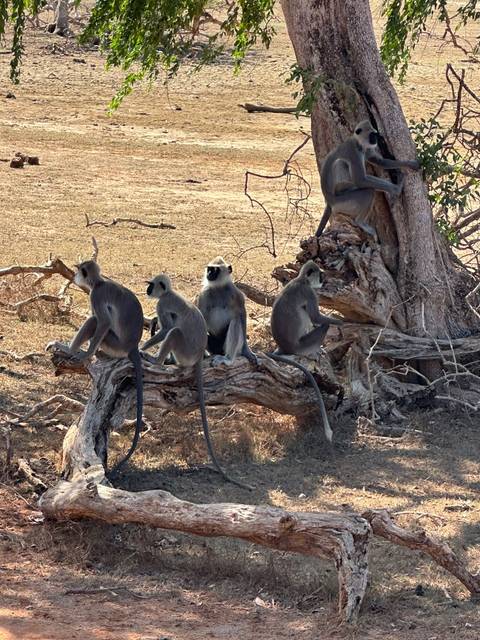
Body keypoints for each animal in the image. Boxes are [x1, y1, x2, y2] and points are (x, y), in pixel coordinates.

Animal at [47, 260, 144, 474]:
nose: (75, 276)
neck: (99, 283)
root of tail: (132, 346)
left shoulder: (96, 295)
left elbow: (104, 321)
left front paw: (85, 354)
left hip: (115, 343)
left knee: (95, 321)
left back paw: (71, 349)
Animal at [142, 274, 252, 490]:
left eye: (152, 285)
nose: (148, 290)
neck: (169, 292)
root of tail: (199, 355)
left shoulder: (163, 303)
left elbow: (167, 328)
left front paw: (142, 348)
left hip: (185, 351)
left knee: (174, 332)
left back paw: (157, 362)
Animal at [269, 260, 344, 443]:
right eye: (320, 274)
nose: (324, 279)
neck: (301, 280)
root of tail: (285, 347)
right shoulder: (309, 292)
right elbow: (317, 318)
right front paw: (342, 322)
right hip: (302, 345)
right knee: (319, 322)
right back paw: (314, 352)